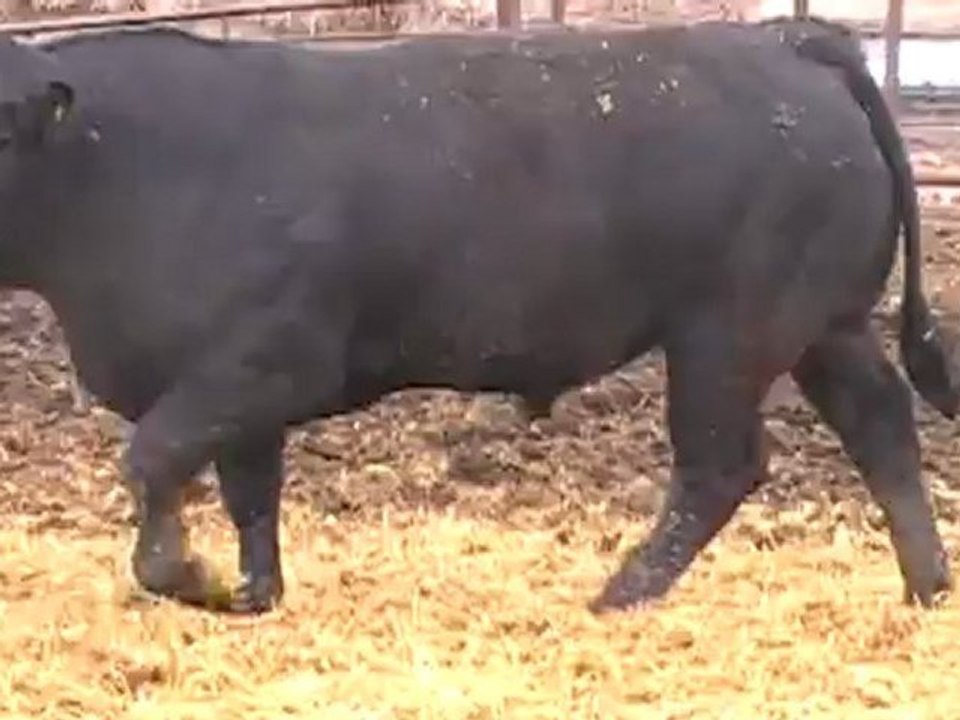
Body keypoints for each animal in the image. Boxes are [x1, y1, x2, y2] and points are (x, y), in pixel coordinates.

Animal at [0, 17, 955, 615]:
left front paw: (189, 578)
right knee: (881, 425)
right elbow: (248, 498)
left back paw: (619, 597)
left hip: (730, 334)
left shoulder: (264, 359)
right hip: (824, 325)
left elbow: (151, 459)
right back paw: (926, 591)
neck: (124, 163)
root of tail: (789, 41)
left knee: (724, 466)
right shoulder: (234, 391)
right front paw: (250, 596)